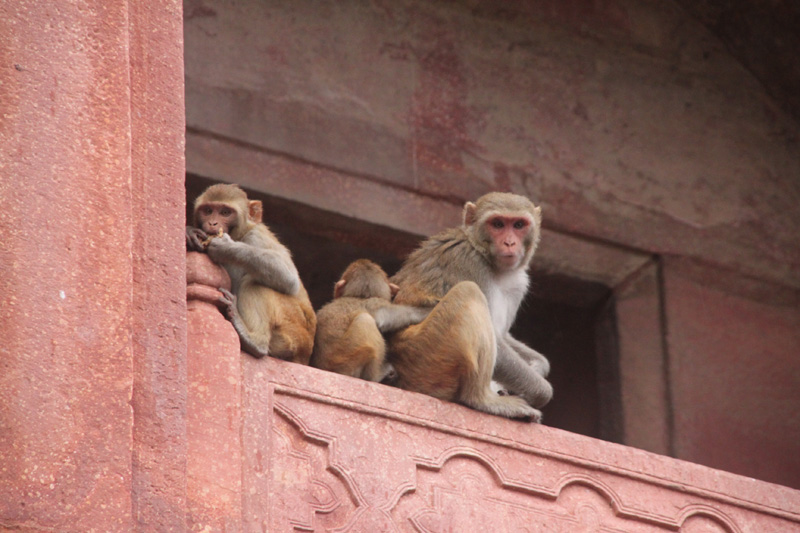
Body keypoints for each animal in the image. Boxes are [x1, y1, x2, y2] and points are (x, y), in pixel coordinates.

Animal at [186, 183, 316, 364]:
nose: (212, 223)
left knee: (254, 282)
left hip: (294, 328)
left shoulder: (257, 237)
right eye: (208, 210)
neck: (240, 235)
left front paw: (226, 247)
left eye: (225, 212)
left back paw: (253, 341)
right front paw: (189, 232)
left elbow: (288, 278)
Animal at [387, 192, 552, 421]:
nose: (509, 242)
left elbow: (503, 337)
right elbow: (498, 346)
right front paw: (542, 391)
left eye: (519, 225)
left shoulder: (518, 284)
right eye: (498, 224)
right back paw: (482, 400)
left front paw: (539, 364)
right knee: (468, 292)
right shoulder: (470, 262)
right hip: (424, 357)